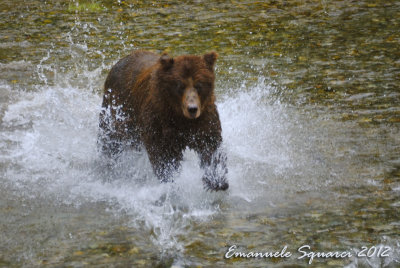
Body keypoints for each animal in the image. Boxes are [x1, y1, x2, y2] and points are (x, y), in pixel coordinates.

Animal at [97, 50, 228, 192]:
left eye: (199, 85)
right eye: (180, 86)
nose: (192, 109)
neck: (180, 116)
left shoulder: (204, 119)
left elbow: (211, 147)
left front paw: (217, 181)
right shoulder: (159, 120)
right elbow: (162, 153)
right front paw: (170, 179)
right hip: (117, 111)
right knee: (110, 140)